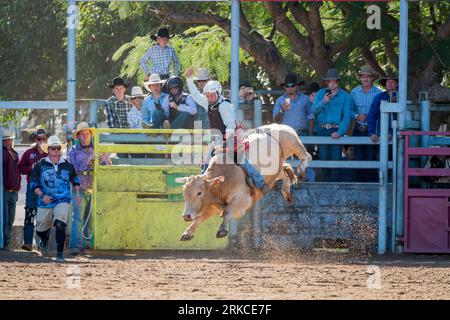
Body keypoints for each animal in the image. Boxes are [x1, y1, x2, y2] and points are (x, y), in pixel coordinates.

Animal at [174, 122, 312, 240]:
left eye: (199, 193)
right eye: (184, 193)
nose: (186, 216)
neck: (224, 181)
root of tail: (275, 126)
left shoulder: (242, 204)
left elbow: (227, 212)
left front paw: (222, 230)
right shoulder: (212, 206)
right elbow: (200, 217)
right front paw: (187, 233)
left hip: (293, 143)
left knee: (307, 156)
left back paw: (301, 169)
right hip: (276, 169)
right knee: (284, 172)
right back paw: (287, 194)